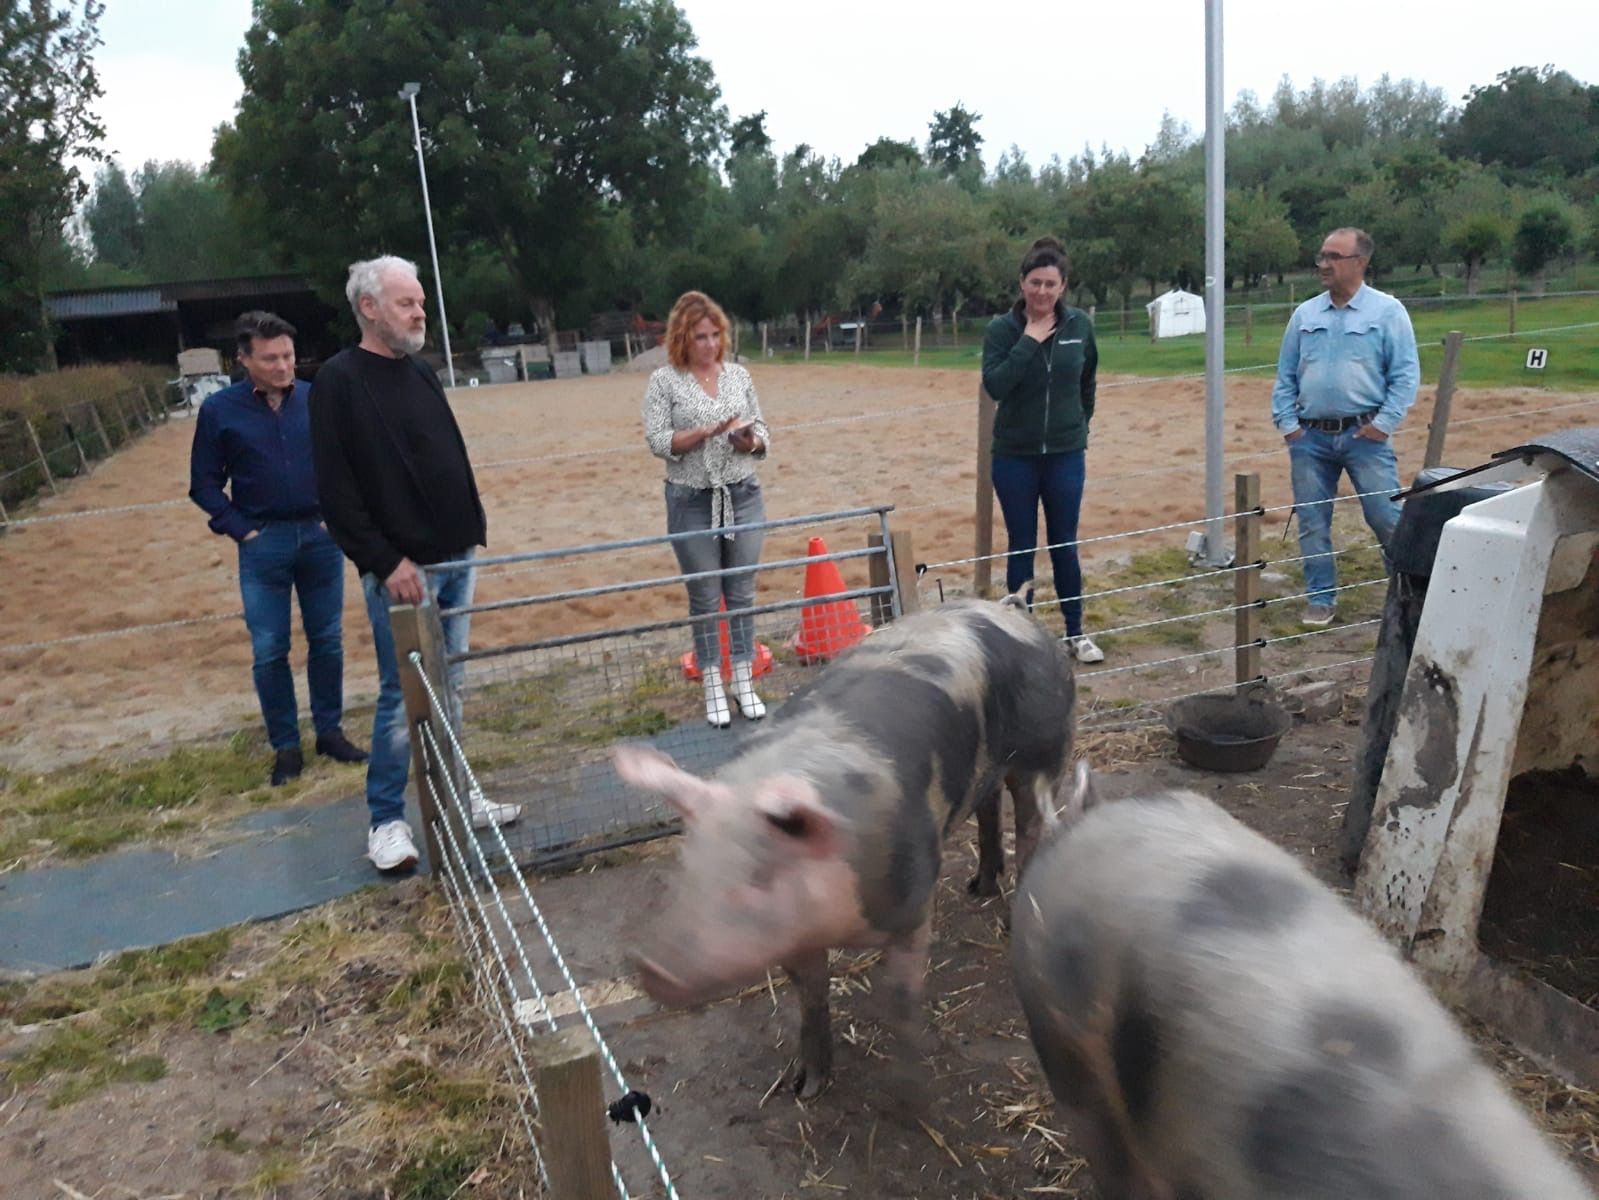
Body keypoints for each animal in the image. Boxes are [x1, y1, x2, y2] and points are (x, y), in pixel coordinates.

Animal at [610, 601, 1074, 1100]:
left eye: (759, 876)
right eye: (689, 866)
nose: (652, 966)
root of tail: (1013, 611)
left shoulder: (911, 904)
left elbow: (901, 999)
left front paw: (910, 1091)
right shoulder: (795, 938)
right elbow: (812, 996)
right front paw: (806, 1087)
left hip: (1043, 756)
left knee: (1030, 827)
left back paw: (1010, 918)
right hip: (985, 771)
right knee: (989, 808)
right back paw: (979, 886)